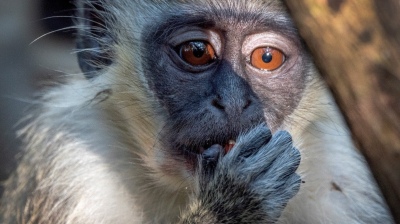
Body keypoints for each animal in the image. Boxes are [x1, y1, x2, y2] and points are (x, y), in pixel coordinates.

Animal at [0, 0, 394, 223]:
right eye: (196, 51)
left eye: (267, 57)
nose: (233, 100)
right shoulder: (68, 166)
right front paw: (234, 202)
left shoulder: (349, 179)